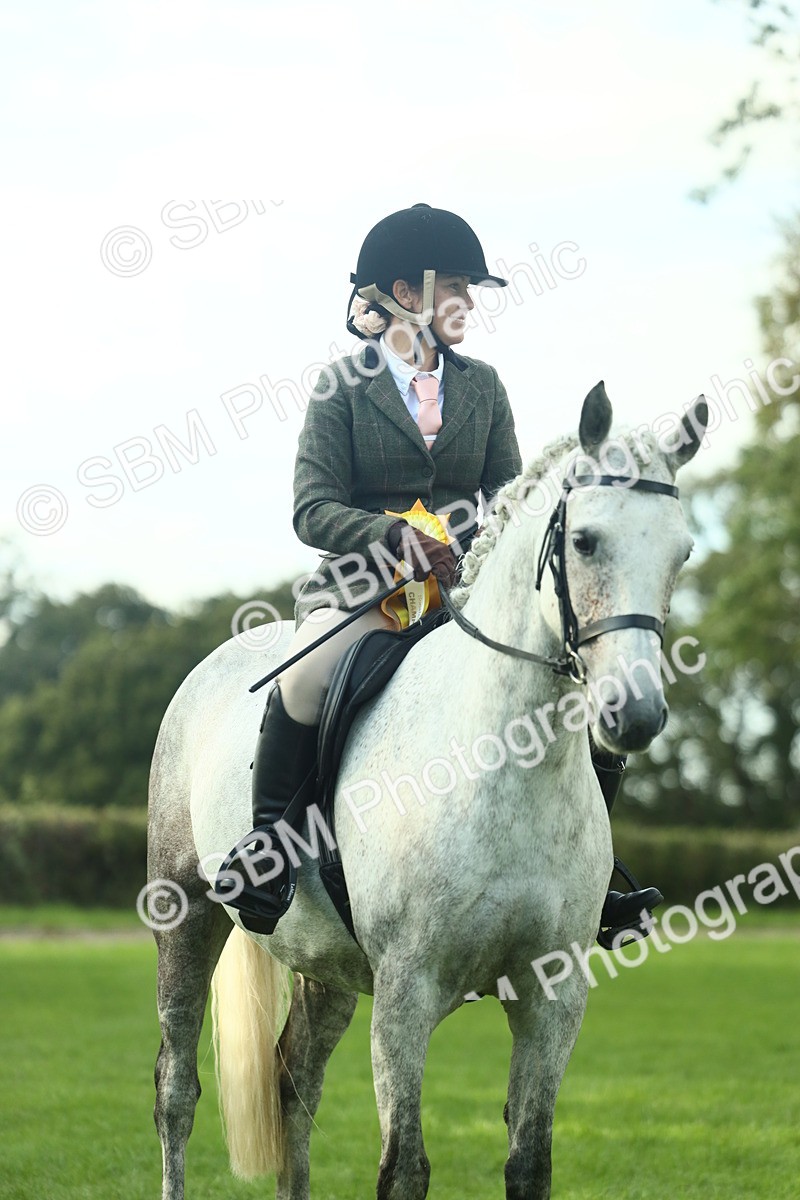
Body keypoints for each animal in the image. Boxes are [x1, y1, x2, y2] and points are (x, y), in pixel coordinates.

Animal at [148, 382, 707, 1200]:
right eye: (585, 542)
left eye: (682, 551)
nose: (633, 715)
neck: (504, 767)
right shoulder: (406, 996)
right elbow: (404, 1168)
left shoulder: (553, 999)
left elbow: (530, 1163)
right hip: (184, 913)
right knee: (176, 1090)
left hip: (326, 964)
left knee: (293, 1082)